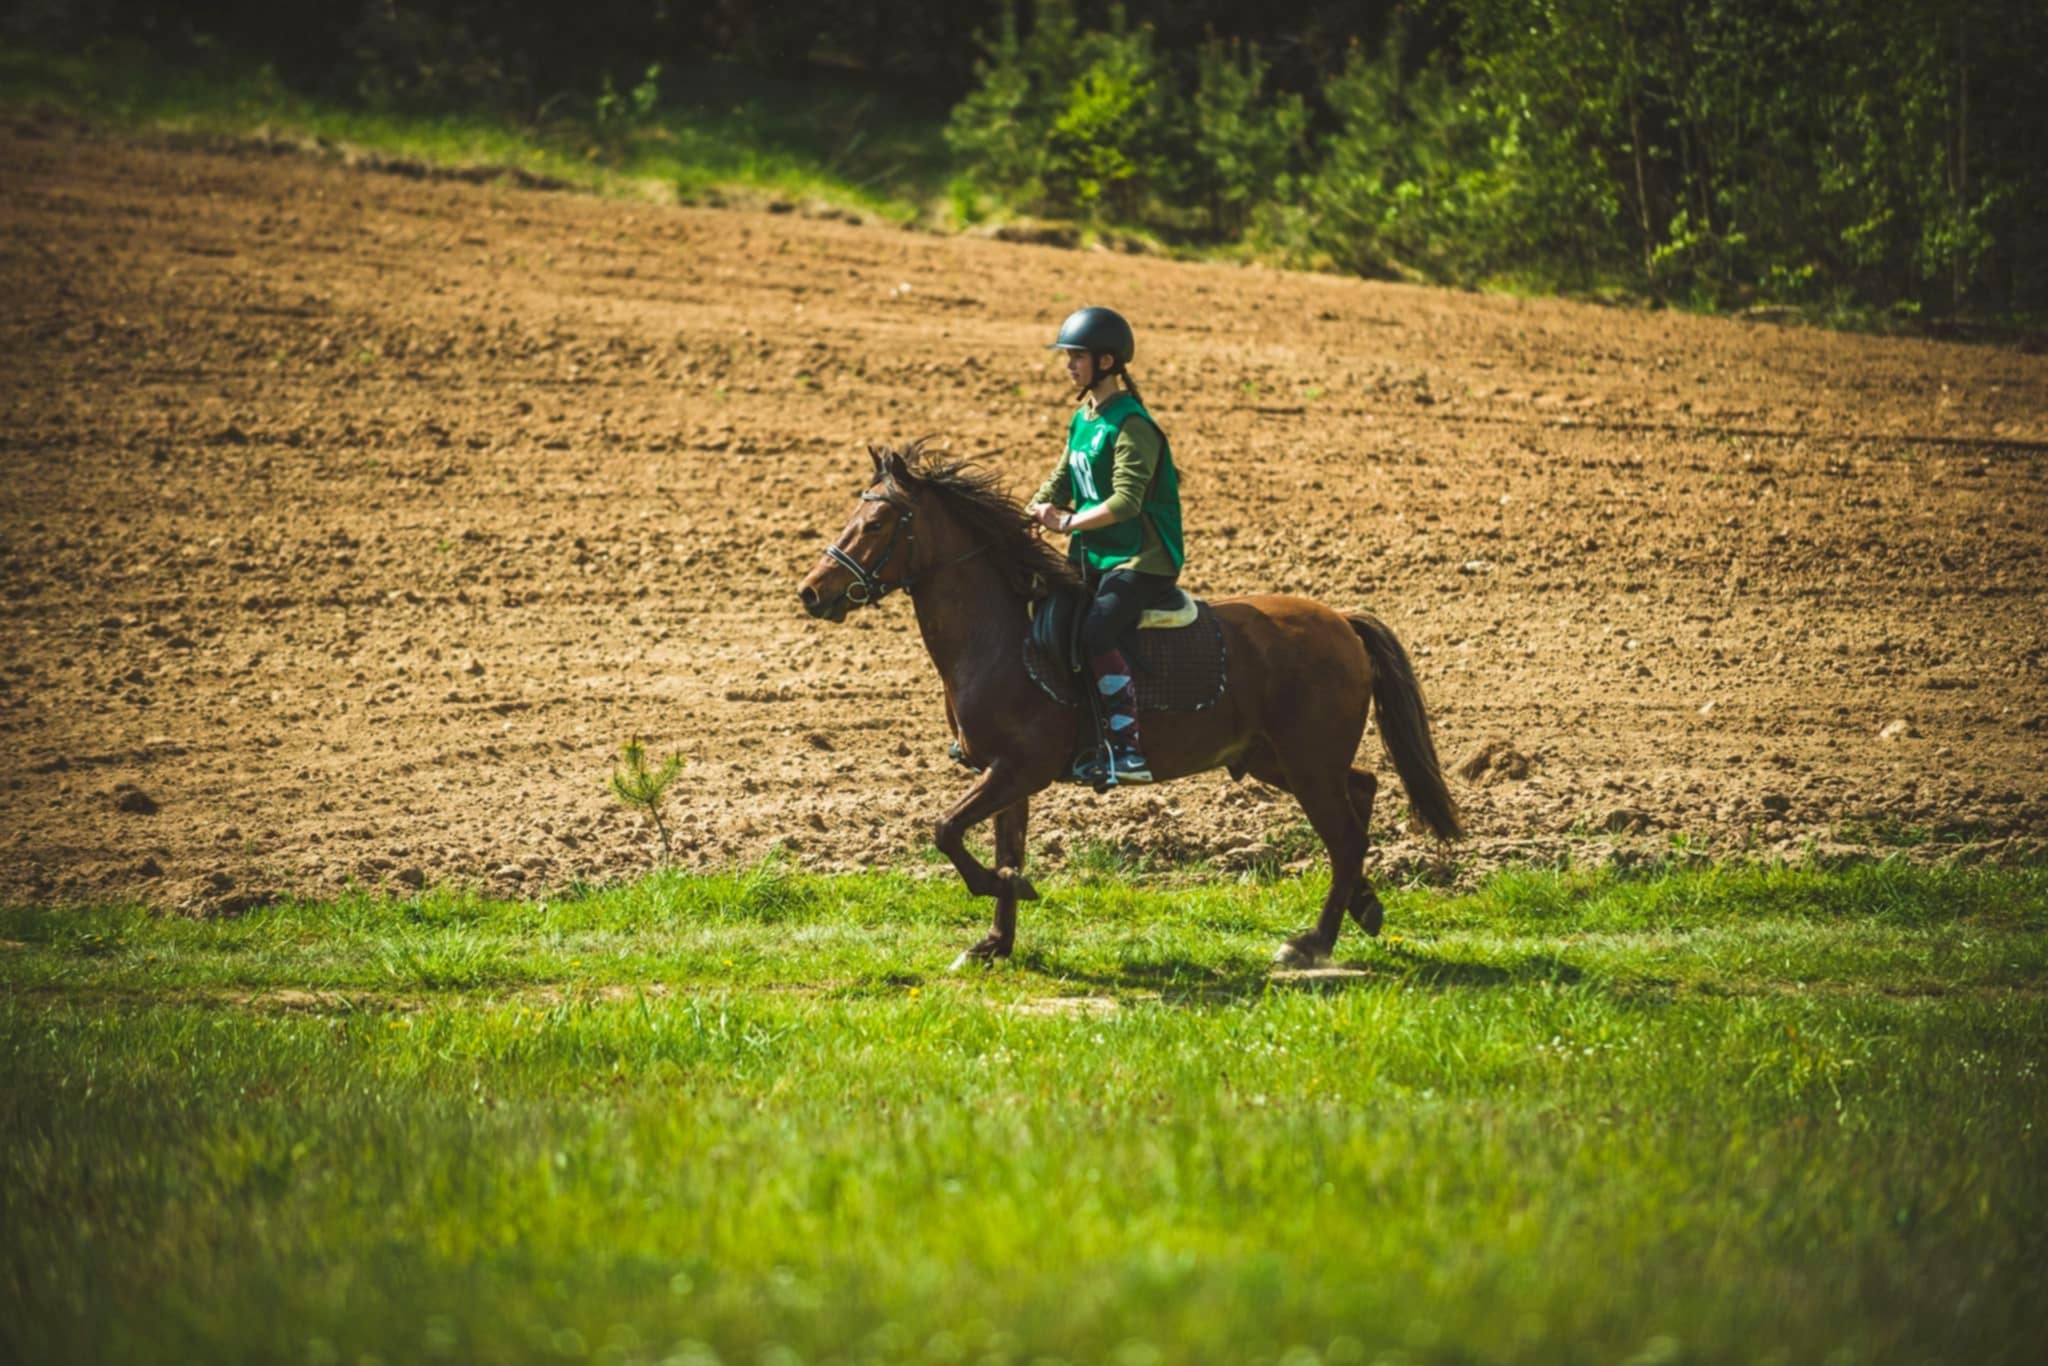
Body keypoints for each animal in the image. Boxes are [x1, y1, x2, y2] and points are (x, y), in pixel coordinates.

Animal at [790, 444, 1466, 966]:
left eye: (879, 523)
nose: (811, 593)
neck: (1000, 638)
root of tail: (1344, 623)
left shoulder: (1018, 770)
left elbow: (945, 830)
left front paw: (1005, 891)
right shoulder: (1007, 776)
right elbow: (1001, 847)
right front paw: (994, 942)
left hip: (1305, 763)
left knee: (1346, 835)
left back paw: (1312, 944)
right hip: (1277, 759)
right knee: (1363, 791)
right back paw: (1365, 906)